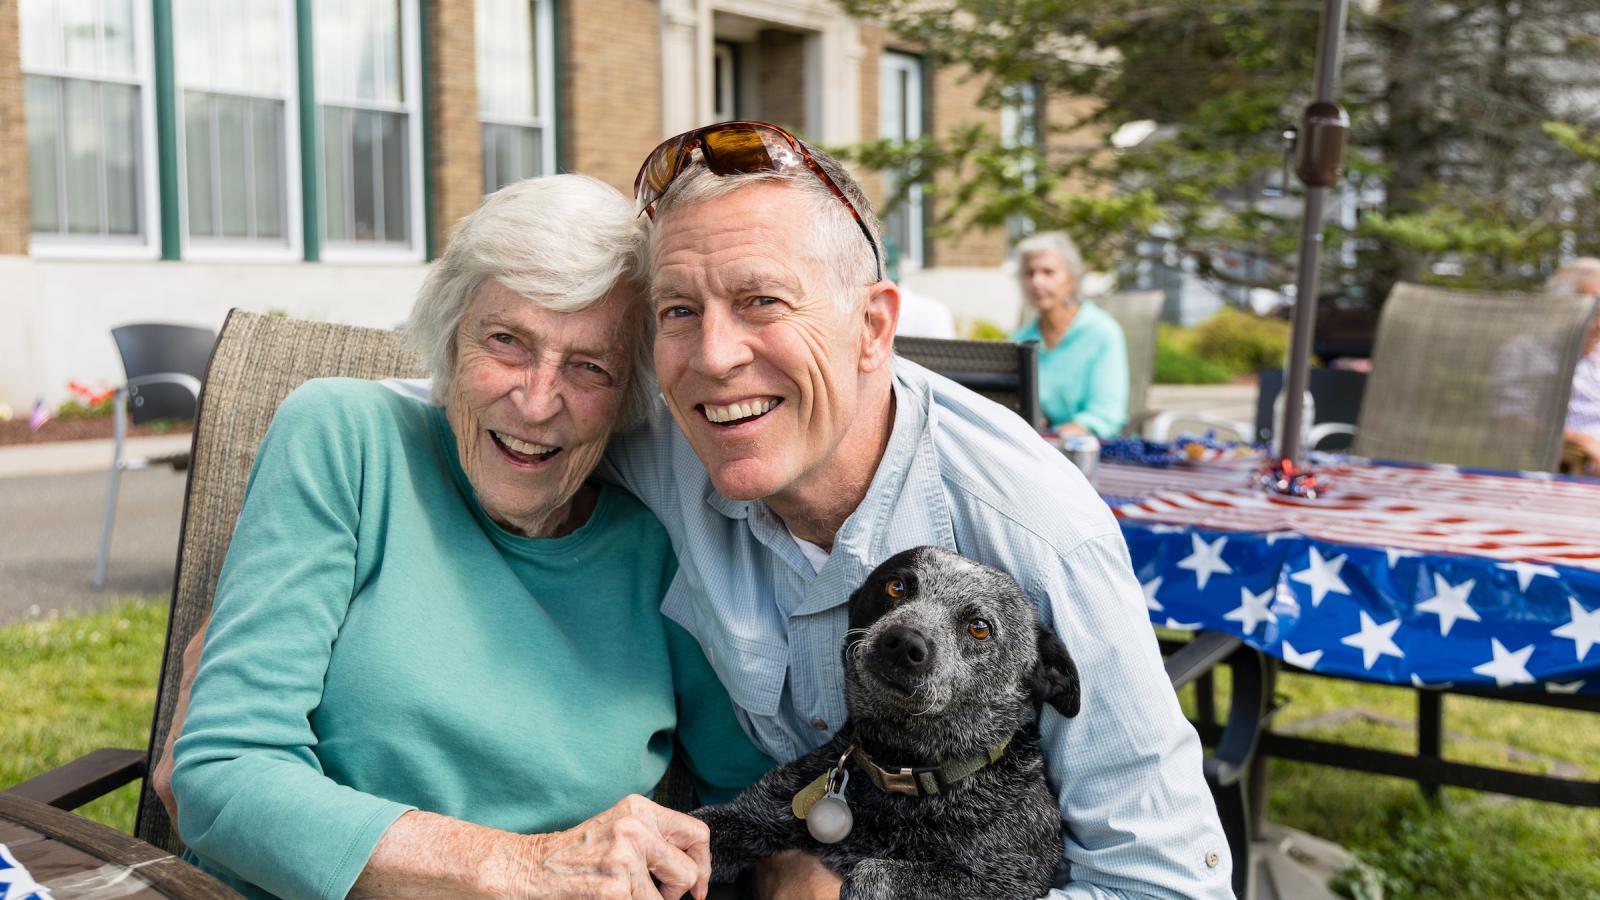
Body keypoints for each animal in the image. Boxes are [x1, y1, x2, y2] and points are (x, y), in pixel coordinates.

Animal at [688, 544, 1075, 890]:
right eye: (896, 586)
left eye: (979, 627)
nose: (904, 643)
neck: (900, 768)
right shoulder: (753, 814)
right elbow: (696, 829)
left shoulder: (1005, 883)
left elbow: (870, 874)